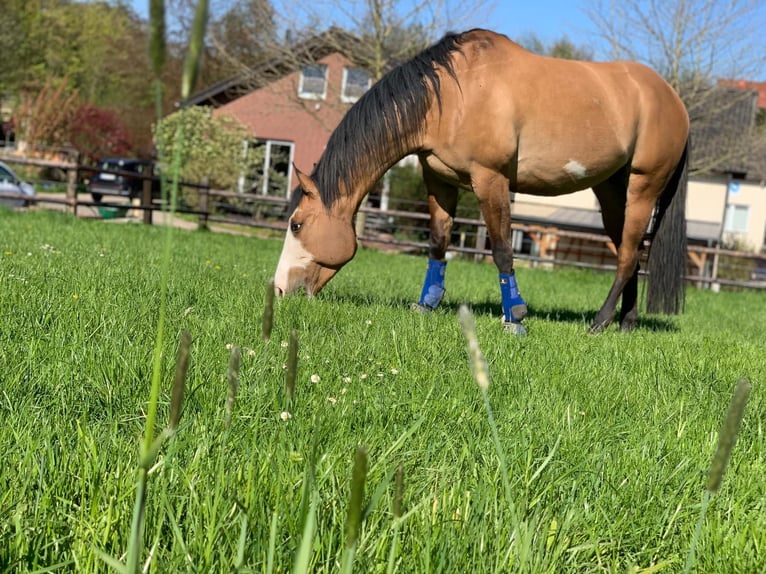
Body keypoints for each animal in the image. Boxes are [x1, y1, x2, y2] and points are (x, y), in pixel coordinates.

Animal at [274, 28, 689, 334]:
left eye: (296, 225)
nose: (278, 289)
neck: (451, 95)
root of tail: (673, 99)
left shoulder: (491, 180)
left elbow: (503, 249)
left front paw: (515, 318)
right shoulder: (438, 180)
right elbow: (438, 243)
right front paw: (426, 304)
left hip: (644, 186)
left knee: (628, 255)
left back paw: (600, 322)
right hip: (610, 189)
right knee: (629, 252)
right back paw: (626, 323)